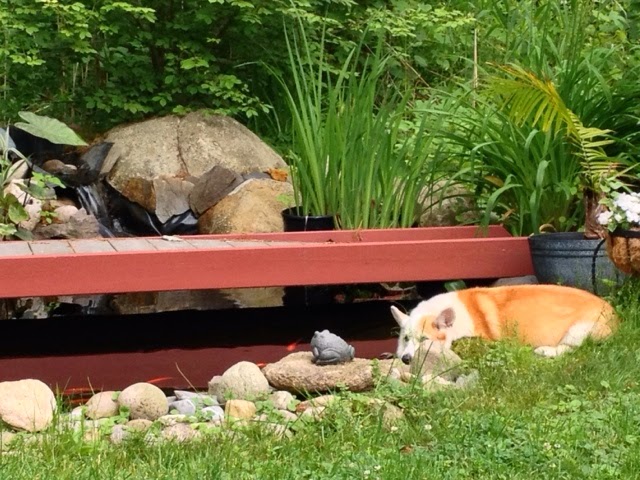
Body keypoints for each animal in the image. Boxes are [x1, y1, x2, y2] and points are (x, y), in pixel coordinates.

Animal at [392, 284, 618, 363]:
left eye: (424, 339)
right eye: (406, 339)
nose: (406, 360)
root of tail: (615, 315)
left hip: (579, 329)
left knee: (577, 348)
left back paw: (545, 350)